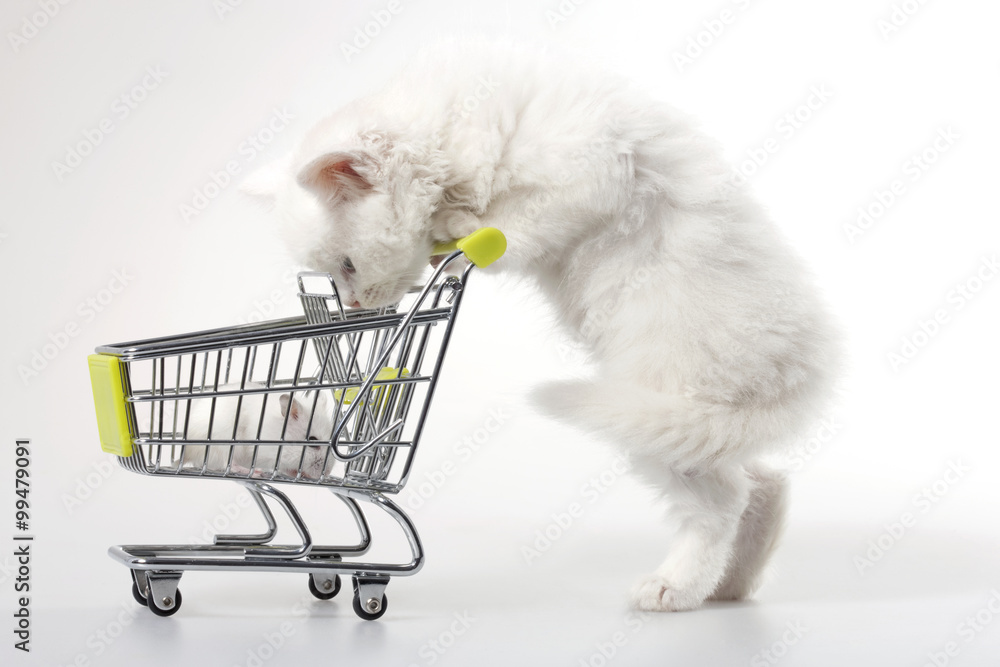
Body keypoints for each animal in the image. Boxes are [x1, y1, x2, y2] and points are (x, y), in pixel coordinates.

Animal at [180, 384, 332, 482]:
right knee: (229, 465)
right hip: (222, 445)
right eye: (313, 440)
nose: (327, 474)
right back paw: (256, 472)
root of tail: (187, 452)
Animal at [246, 37, 840, 612]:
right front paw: (451, 237)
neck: (457, 132)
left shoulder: (590, 174)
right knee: (762, 483)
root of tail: (799, 375)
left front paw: (463, 230)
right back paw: (732, 584)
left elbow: (513, 226)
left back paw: (677, 587)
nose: (351, 314)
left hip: (664, 418)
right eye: (332, 273)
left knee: (726, 502)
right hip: (684, 431)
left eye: (346, 266)